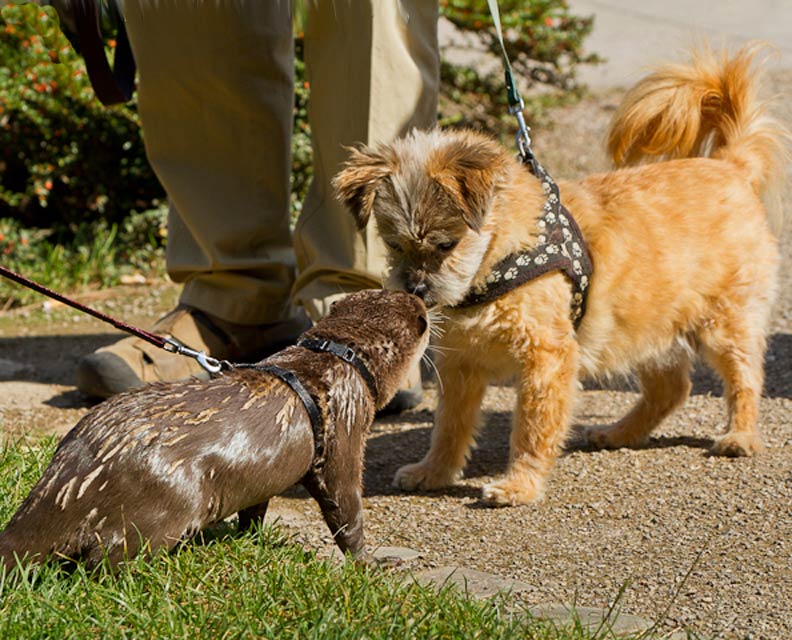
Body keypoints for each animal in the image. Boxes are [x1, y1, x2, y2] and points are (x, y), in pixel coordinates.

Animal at [332, 45, 784, 504]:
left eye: (446, 245)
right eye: (393, 244)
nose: (417, 290)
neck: (499, 260)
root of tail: (731, 165)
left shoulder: (546, 358)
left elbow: (532, 429)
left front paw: (520, 484)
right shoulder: (461, 365)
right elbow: (449, 427)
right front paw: (434, 472)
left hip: (723, 324)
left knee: (745, 377)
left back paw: (739, 436)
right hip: (647, 327)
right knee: (671, 389)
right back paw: (620, 433)